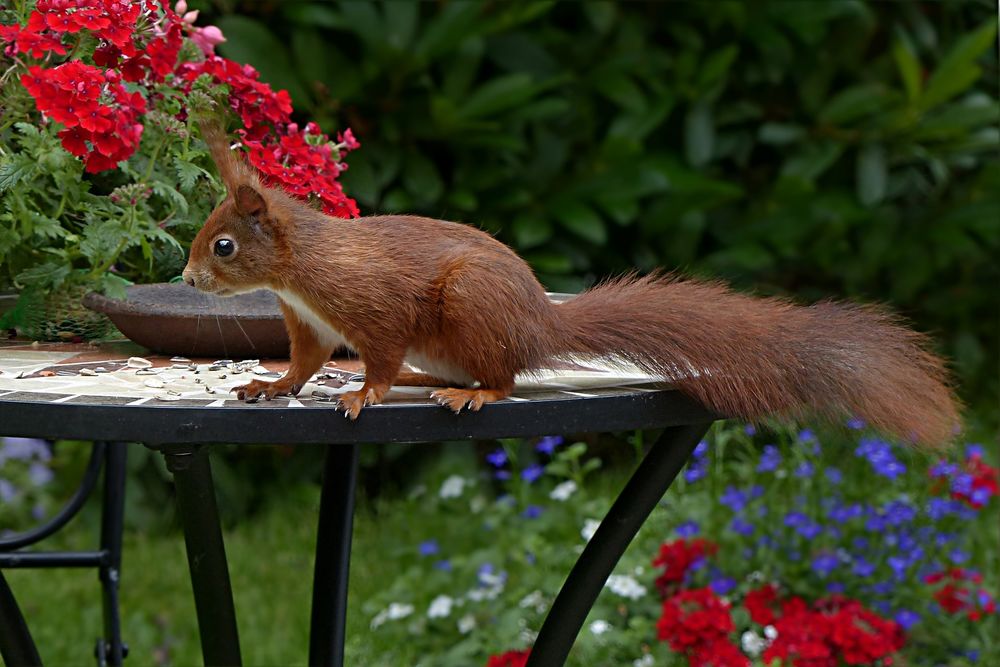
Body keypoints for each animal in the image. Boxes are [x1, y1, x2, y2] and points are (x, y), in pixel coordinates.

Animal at [181, 123, 960, 446]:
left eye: (223, 245)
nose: (187, 277)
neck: (301, 273)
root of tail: (540, 324)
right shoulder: (309, 323)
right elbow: (304, 364)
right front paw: (269, 385)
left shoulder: (371, 304)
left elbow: (378, 354)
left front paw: (365, 394)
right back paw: (424, 382)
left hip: (472, 306)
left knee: (504, 379)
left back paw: (469, 392)